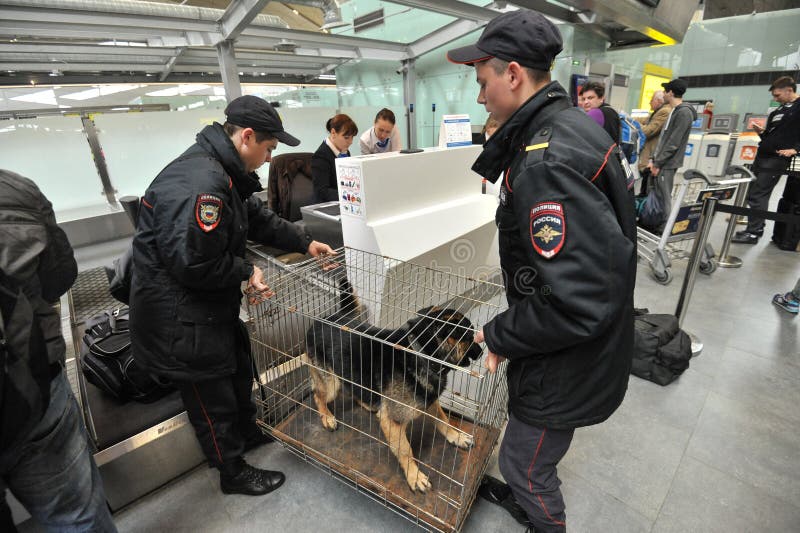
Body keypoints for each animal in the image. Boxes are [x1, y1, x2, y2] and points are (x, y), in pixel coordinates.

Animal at [304, 280, 482, 492]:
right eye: (471, 337)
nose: (482, 351)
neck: (420, 353)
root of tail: (321, 319)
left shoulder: (429, 401)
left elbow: (444, 420)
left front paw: (457, 436)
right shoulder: (394, 422)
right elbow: (405, 450)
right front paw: (414, 475)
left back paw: (369, 405)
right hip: (331, 384)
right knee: (318, 396)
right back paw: (327, 417)